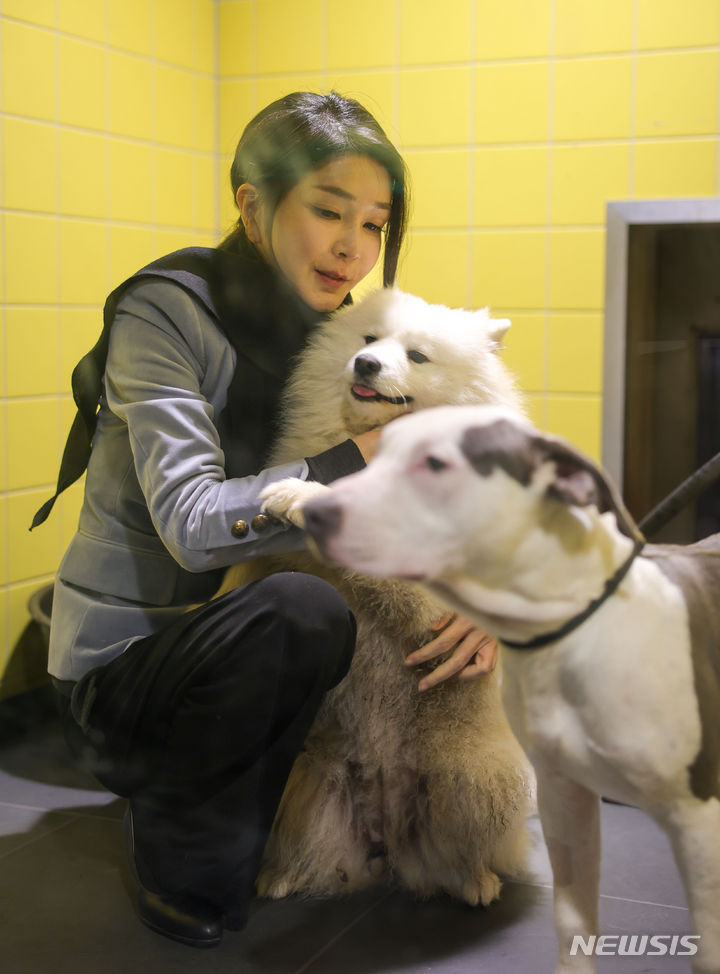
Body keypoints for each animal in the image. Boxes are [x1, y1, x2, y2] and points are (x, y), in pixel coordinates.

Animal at [217, 288, 536, 908]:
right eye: (368, 341)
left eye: (417, 355)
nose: (365, 365)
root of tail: (387, 836)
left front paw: (303, 496)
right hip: (305, 774)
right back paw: (280, 876)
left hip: (477, 778)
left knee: (469, 849)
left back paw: (476, 881)